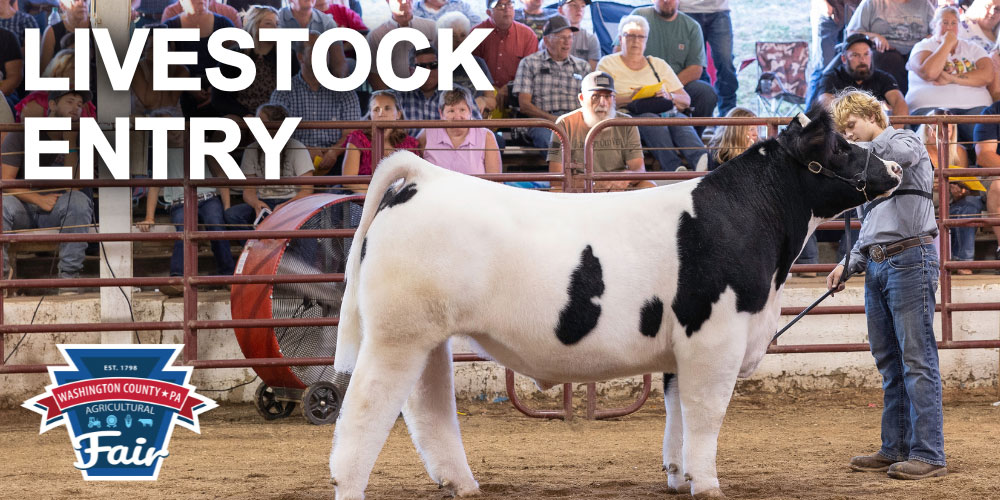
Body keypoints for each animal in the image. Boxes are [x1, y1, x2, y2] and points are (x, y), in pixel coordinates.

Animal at [327, 109, 902, 499]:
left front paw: (678, 478)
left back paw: (461, 483)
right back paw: (351, 485)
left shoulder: (682, 351)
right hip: (397, 336)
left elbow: (676, 417)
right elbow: (706, 416)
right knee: (364, 413)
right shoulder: (714, 340)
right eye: (840, 147)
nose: (895, 168)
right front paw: (708, 483)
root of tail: (427, 178)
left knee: (428, 409)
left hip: (428, 338)